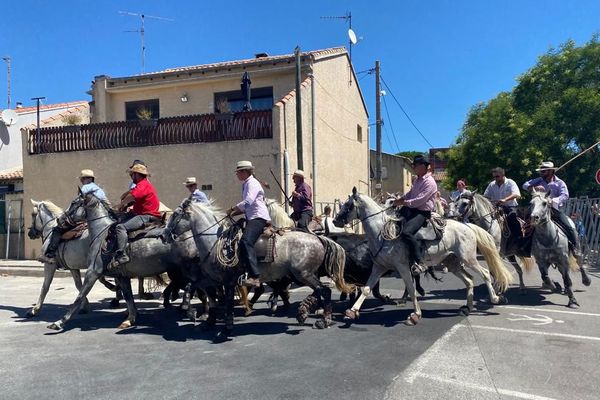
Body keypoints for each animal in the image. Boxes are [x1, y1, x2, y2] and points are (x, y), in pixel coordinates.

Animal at [332, 188, 510, 324]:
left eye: (348, 205)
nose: (335, 221)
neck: (383, 233)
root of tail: (467, 225)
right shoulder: (379, 267)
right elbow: (368, 289)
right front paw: (352, 311)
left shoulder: (403, 267)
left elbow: (411, 289)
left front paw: (415, 315)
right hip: (452, 263)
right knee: (469, 280)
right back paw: (468, 307)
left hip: (469, 259)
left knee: (485, 274)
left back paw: (495, 299)